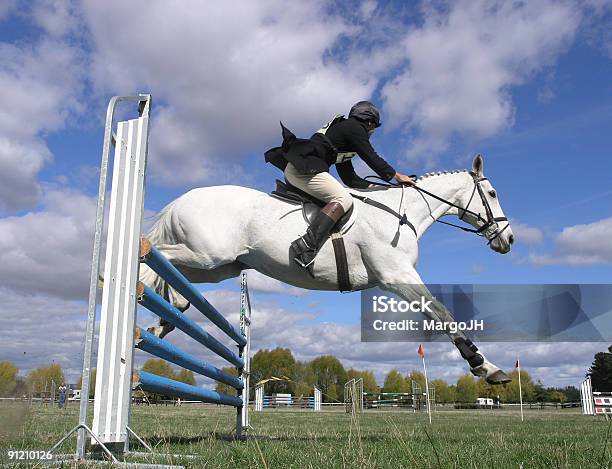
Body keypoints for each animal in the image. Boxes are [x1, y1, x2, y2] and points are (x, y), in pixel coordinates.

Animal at [141, 155, 512, 382]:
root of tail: (182, 199)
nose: (508, 240)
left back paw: (166, 317)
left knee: (172, 275)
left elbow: (439, 313)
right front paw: (486, 367)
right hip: (207, 255)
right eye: (493, 193)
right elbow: (442, 312)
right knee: (154, 255)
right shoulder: (396, 276)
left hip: (221, 266)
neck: (401, 214)